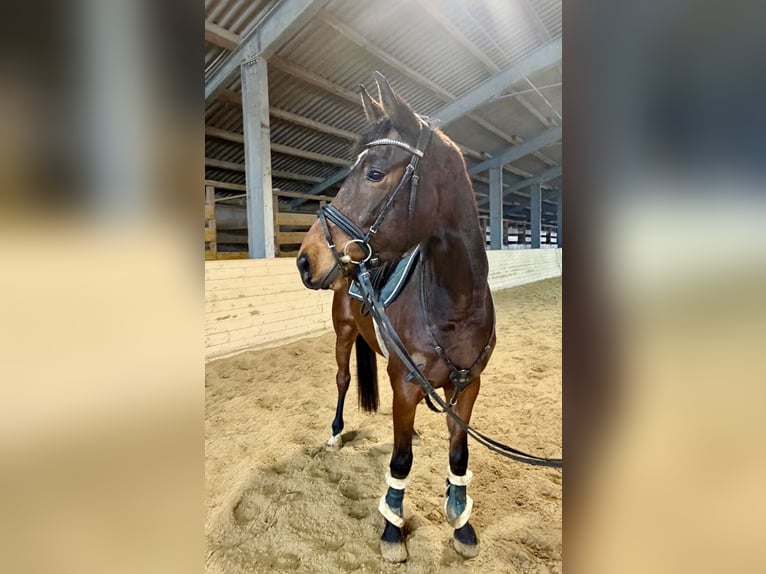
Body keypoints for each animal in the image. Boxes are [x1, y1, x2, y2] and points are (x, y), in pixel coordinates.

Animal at [296, 72, 495, 563]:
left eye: (373, 173)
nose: (306, 259)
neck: (457, 304)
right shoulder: (404, 382)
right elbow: (400, 461)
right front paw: (391, 528)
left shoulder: (469, 384)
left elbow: (459, 453)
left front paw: (462, 523)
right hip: (344, 335)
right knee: (343, 381)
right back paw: (335, 434)